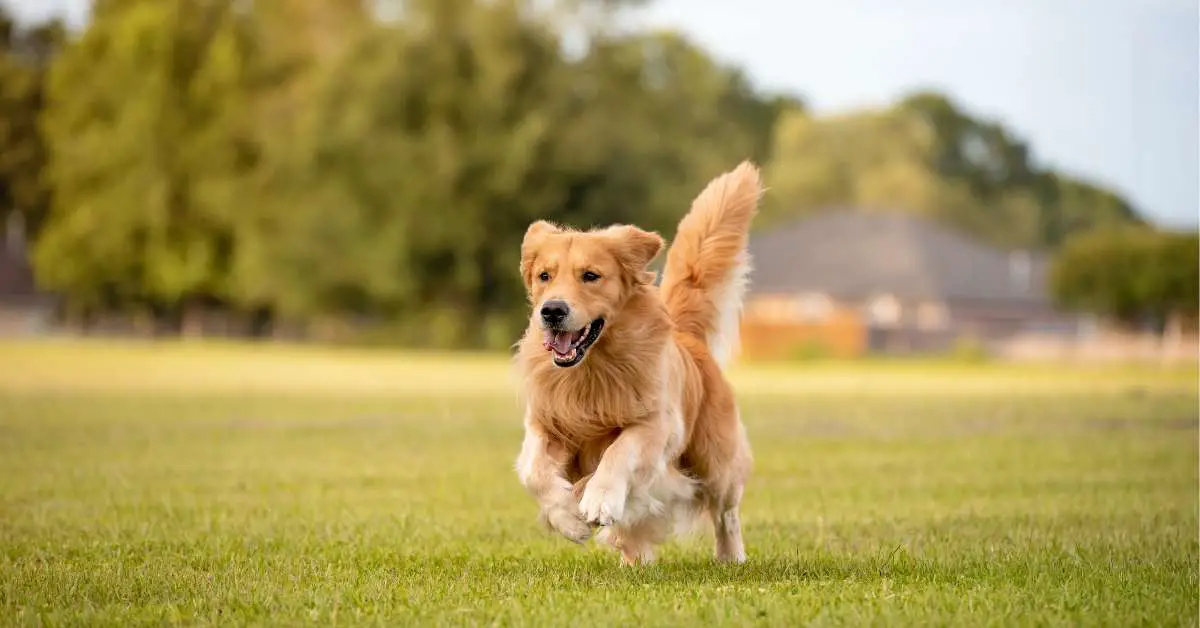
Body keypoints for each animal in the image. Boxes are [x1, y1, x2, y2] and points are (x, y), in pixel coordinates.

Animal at [513, 160, 758, 564]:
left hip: (715, 459)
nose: (551, 311)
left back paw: (731, 556)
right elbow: (534, 471)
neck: (592, 369)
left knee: (727, 512)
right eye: (544, 276)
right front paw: (568, 517)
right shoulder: (545, 422)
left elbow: (618, 451)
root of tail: (688, 338)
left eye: (591, 276)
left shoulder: (656, 424)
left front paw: (598, 498)